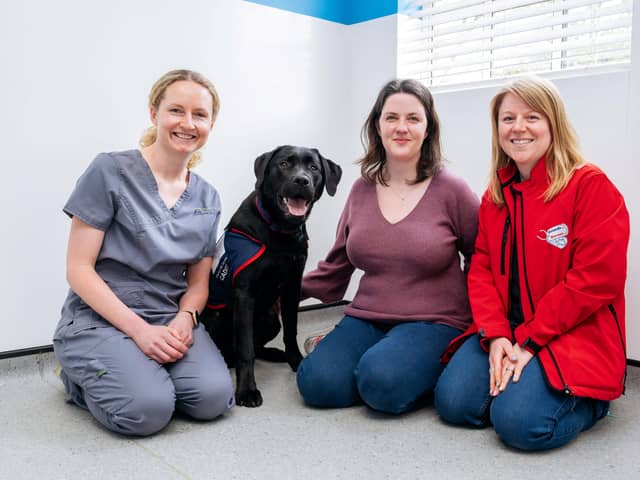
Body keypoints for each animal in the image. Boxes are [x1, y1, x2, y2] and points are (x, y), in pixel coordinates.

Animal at [202, 144, 342, 406]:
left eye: (313, 167)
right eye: (284, 164)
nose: (302, 180)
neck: (280, 231)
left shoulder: (292, 286)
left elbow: (291, 329)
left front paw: (295, 360)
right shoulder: (244, 294)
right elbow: (245, 349)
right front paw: (246, 390)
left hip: (270, 317)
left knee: (257, 346)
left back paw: (274, 354)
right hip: (216, 318)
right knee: (236, 350)